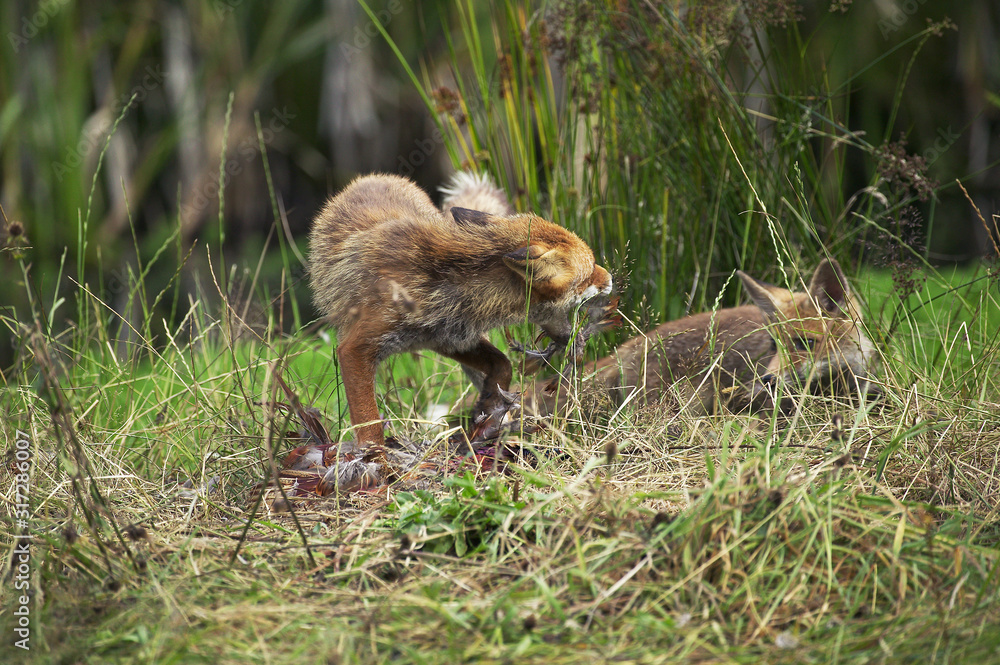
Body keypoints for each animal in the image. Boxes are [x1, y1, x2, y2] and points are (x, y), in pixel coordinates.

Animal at [309, 171, 613, 447]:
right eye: (590, 271)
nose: (611, 278)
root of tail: (373, 176)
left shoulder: (449, 338)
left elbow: (502, 364)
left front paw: (488, 414)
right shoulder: (356, 349)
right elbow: (369, 426)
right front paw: (376, 463)